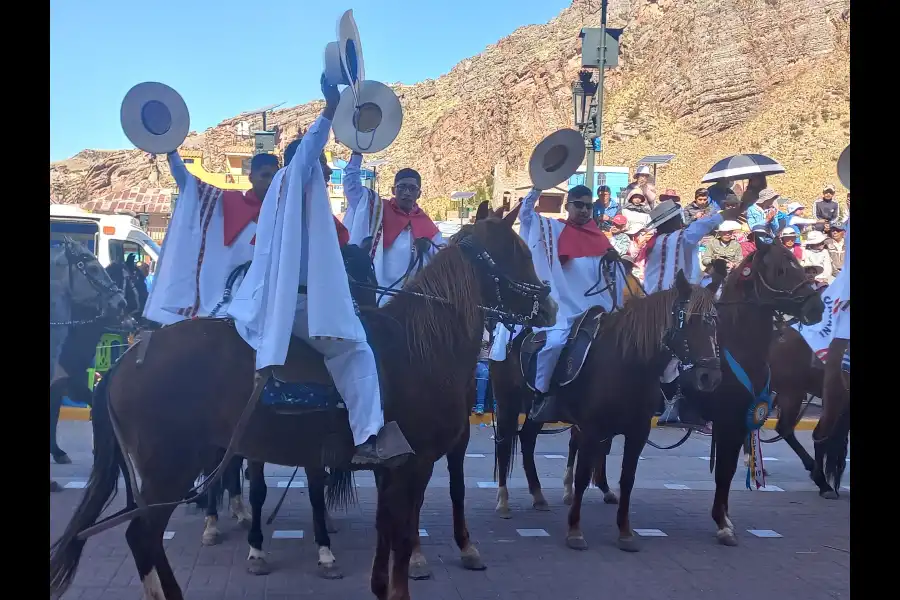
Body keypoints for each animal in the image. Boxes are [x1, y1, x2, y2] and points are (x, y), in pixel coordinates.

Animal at [51, 216, 556, 600]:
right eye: (517, 252)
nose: (550, 304)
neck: (422, 347)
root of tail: (127, 358)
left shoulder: (394, 468)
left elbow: (388, 530)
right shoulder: (414, 465)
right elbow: (403, 532)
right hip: (169, 471)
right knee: (142, 536)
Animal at [488, 270, 720, 552]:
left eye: (714, 322)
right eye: (689, 320)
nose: (710, 376)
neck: (627, 361)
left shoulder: (637, 432)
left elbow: (627, 479)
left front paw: (625, 532)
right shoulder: (591, 429)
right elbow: (581, 475)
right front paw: (575, 531)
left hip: (537, 413)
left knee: (528, 440)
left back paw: (538, 494)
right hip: (507, 404)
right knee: (503, 445)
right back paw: (503, 501)